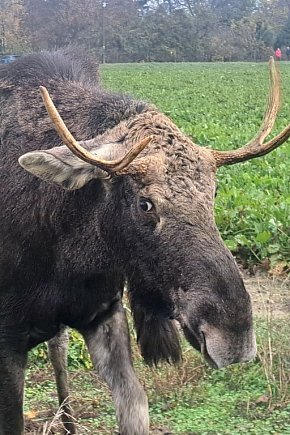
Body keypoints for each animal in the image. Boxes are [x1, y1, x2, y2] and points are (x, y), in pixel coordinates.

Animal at [0, 52, 286, 435]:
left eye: (213, 193)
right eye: (145, 203)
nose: (233, 335)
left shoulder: (103, 312)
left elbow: (135, 408)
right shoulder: (7, 338)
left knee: (57, 349)